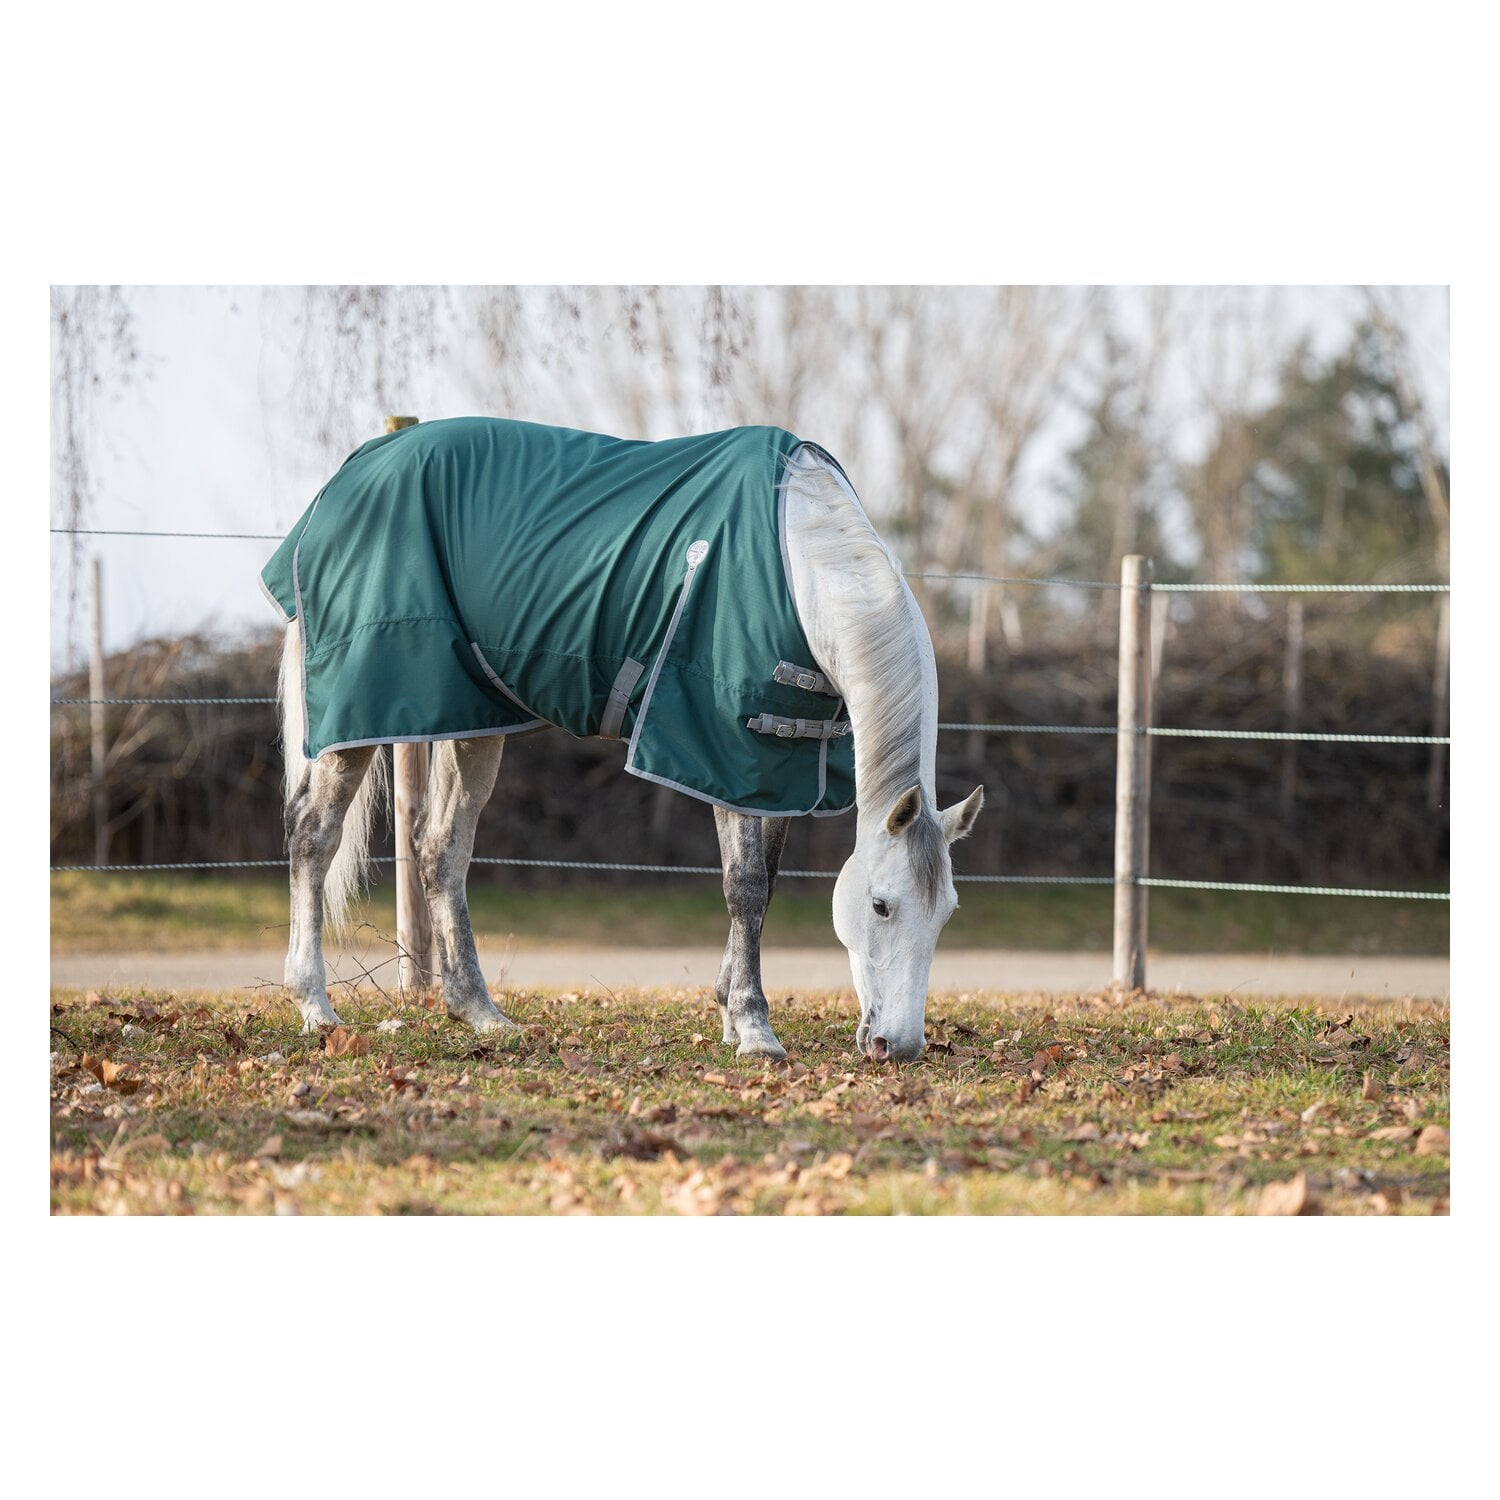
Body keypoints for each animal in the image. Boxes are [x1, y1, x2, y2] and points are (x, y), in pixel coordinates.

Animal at [266, 418, 982, 1062]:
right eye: (881, 906)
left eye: (948, 912)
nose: (900, 1047)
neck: (800, 560)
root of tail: (352, 471)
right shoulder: (718, 747)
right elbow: (746, 886)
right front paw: (755, 1030)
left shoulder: (778, 765)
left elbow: (766, 885)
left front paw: (729, 1012)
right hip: (360, 708)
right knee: (313, 835)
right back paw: (317, 1010)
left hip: (467, 718)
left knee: (441, 849)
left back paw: (481, 1014)